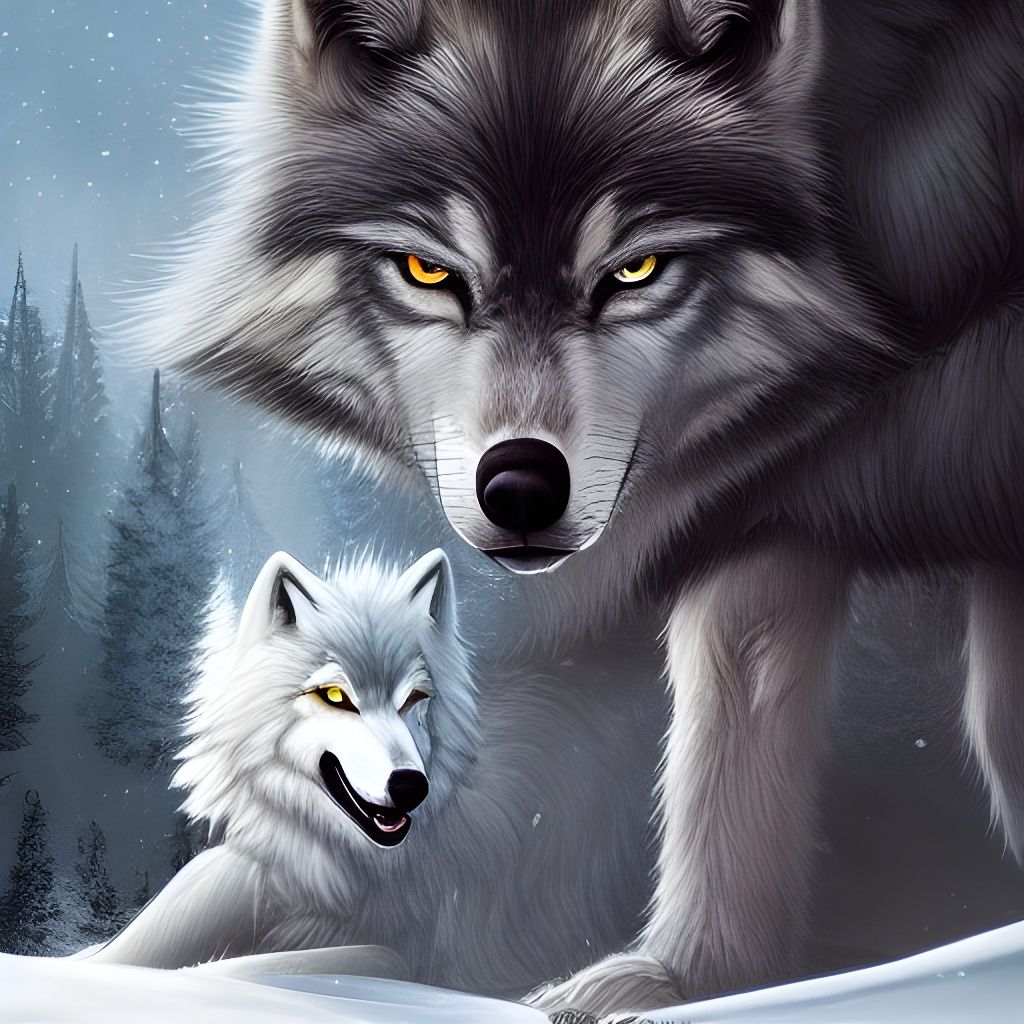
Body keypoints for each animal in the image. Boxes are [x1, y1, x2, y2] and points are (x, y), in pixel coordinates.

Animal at [86, 549, 658, 997]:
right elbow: (126, 946)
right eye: (336, 696)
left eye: (414, 698)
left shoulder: (415, 957)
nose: (411, 786)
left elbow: (255, 968)